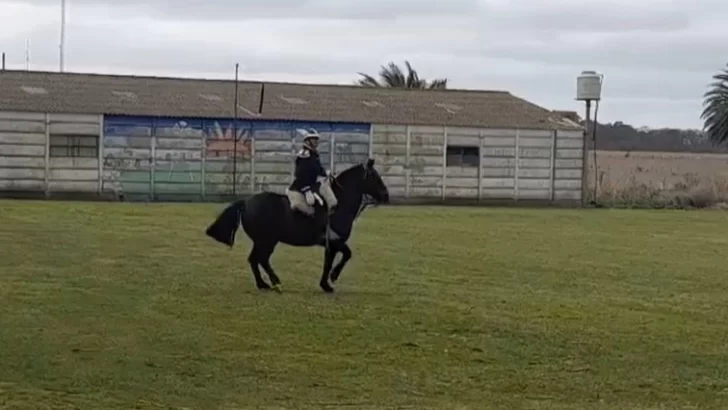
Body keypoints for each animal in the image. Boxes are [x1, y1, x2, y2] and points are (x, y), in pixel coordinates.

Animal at [202, 159, 390, 294]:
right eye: (374, 176)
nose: (386, 196)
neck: (339, 203)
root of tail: (246, 202)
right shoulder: (335, 241)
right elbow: (347, 255)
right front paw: (334, 277)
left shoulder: (330, 245)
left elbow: (327, 263)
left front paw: (326, 285)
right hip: (266, 241)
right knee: (259, 259)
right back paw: (275, 282)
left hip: (266, 241)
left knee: (256, 259)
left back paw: (264, 284)